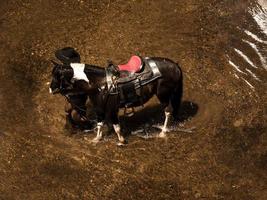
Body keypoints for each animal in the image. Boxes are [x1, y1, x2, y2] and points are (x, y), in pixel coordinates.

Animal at [50, 50, 183, 145]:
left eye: (57, 76)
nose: (50, 89)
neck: (100, 83)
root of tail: (175, 66)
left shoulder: (112, 109)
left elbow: (116, 127)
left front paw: (121, 141)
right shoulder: (100, 109)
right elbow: (100, 124)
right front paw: (96, 139)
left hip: (163, 95)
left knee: (168, 111)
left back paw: (163, 132)